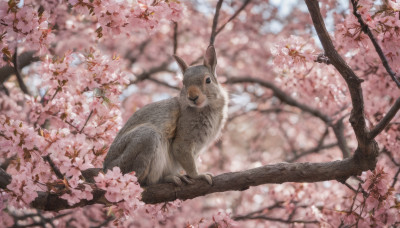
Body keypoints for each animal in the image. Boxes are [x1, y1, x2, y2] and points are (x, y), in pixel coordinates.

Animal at [103, 45, 228, 186]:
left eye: (208, 80)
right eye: (183, 83)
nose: (193, 97)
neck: (207, 107)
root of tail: (107, 171)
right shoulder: (184, 138)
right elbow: (185, 156)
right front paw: (198, 176)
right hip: (144, 141)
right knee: (143, 180)